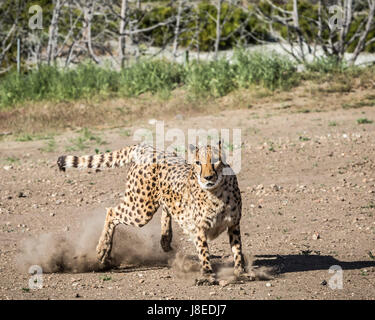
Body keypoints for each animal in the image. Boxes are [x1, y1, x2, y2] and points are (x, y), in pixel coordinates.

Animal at [55, 141, 244, 284]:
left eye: (216, 160)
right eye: (198, 163)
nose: (207, 177)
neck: (216, 192)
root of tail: (147, 147)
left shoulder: (234, 224)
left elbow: (238, 250)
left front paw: (241, 272)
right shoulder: (199, 229)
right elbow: (204, 252)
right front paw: (208, 275)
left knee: (167, 208)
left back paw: (165, 240)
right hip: (141, 210)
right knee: (112, 212)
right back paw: (103, 250)